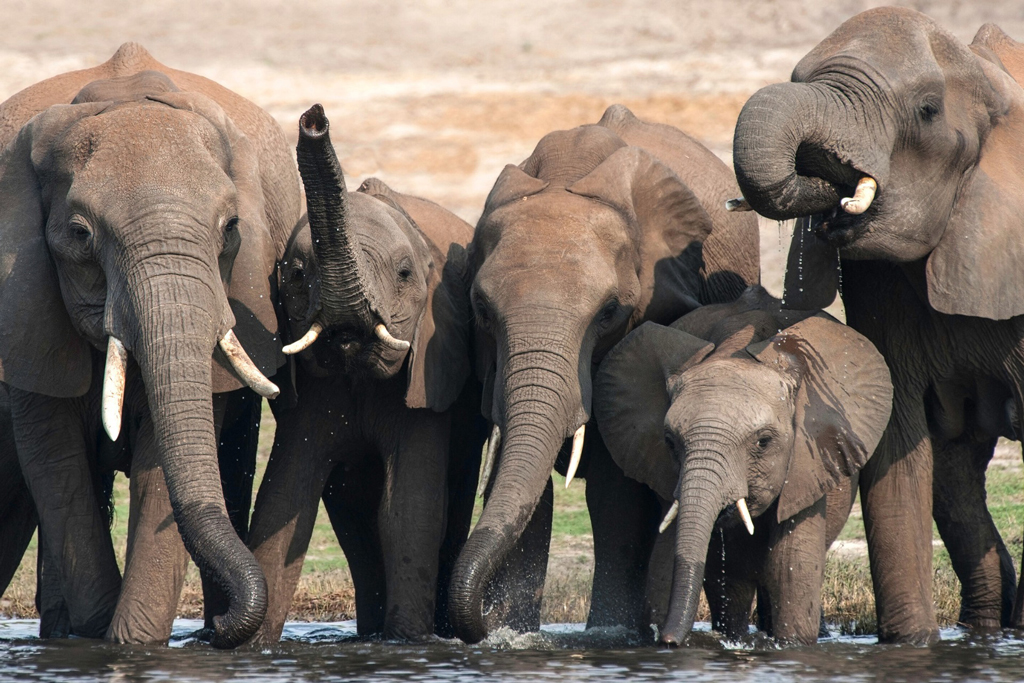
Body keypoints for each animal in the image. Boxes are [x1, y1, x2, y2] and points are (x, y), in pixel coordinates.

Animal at [0, 43, 301, 646]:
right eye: (81, 235)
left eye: (231, 228)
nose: (217, 632)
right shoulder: (26, 310)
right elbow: (55, 460)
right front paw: (93, 639)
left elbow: (159, 466)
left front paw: (134, 646)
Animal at [245, 104, 481, 643]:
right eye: (294, 275)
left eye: (404, 274)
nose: (314, 118)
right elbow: (283, 500)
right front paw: (251, 645)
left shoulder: (427, 374)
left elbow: (408, 510)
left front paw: (406, 642)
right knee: (351, 516)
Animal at [447, 104, 760, 644]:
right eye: (482, 310)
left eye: (610, 312)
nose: (482, 624)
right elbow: (529, 488)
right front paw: (514, 637)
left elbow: (615, 493)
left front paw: (609, 637)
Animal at [593, 286, 892, 645]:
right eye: (670, 441)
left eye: (763, 442)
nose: (668, 640)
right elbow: (670, 561)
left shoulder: (810, 460)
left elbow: (789, 566)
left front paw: (792, 644)